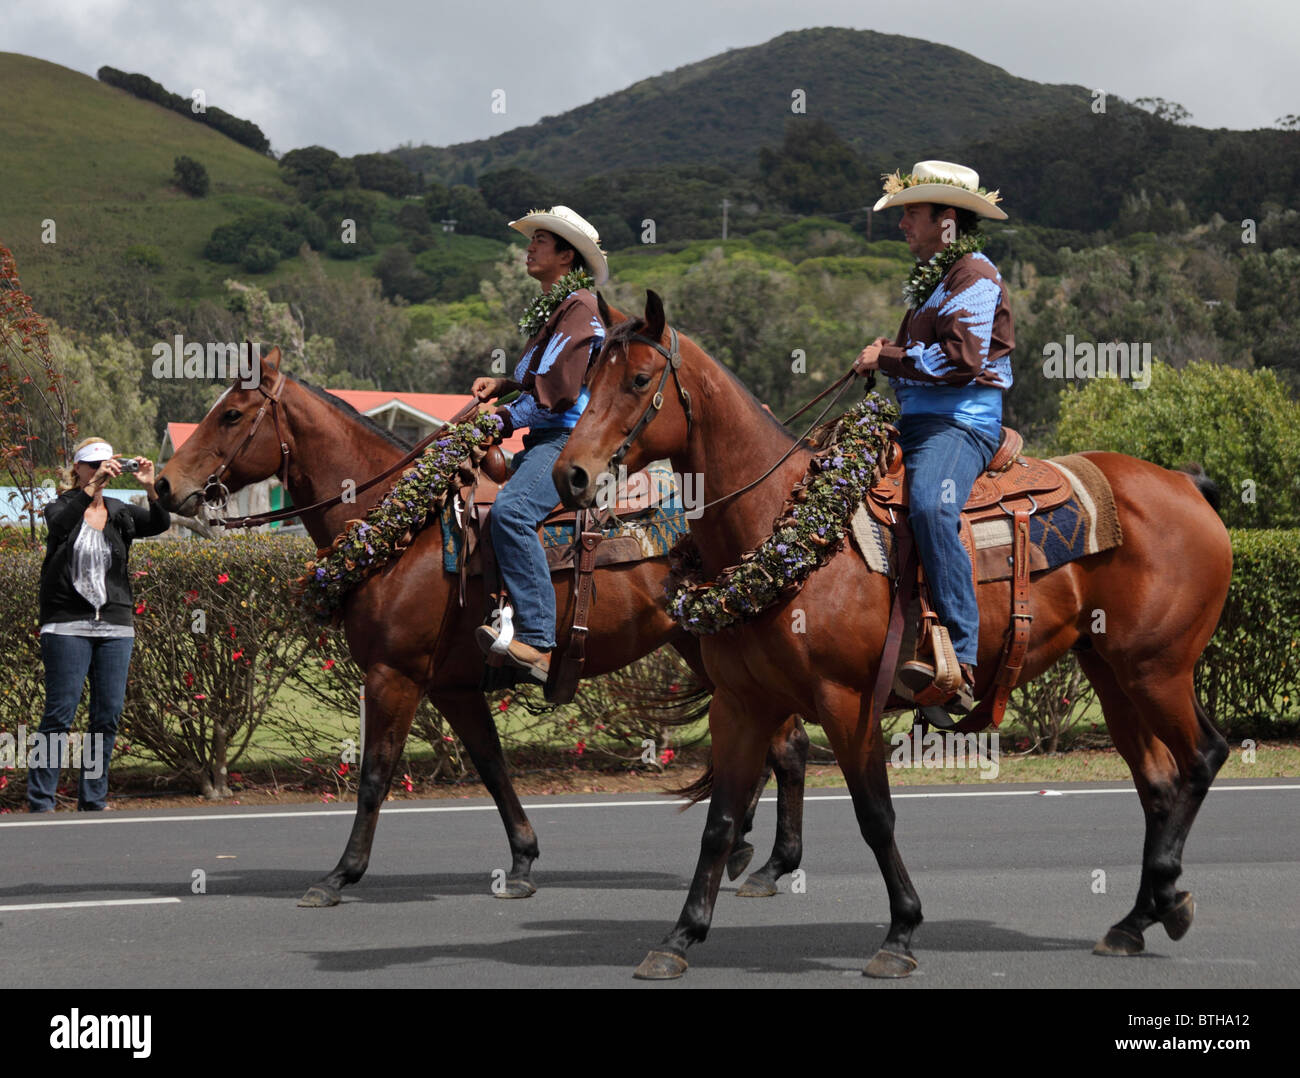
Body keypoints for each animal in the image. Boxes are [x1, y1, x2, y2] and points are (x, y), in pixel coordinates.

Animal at [157, 356, 811, 910]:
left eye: (231, 414)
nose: (163, 485)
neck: (398, 531)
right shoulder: (452, 689)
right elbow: (493, 768)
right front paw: (521, 862)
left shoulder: (393, 677)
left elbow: (374, 778)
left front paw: (340, 875)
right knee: (776, 746)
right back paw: (752, 849)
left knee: (785, 747)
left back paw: (771, 863)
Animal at [553, 289, 1232, 977]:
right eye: (589, 375)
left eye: (639, 380)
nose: (570, 475)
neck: (783, 529)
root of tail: (1184, 484)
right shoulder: (739, 706)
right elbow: (719, 823)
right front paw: (679, 936)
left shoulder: (848, 703)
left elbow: (875, 815)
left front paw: (901, 931)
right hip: (1111, 671)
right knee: (1158, 784)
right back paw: (1139, 918)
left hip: (1157, 670)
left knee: (1202, 757)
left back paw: (1165, 890)